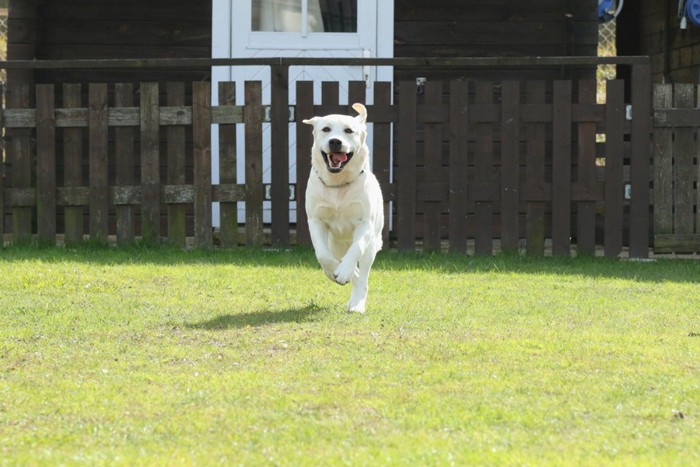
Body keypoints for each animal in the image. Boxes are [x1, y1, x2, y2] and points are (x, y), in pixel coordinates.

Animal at [304, 103, 386, 314]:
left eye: (349, 131)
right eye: (326, 129)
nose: (335, 141)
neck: (338, 185)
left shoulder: (365, 223)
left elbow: (357, 248)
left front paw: (344, 272)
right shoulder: (316, 221)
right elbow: (323, 255)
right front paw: (336, 272)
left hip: (372, 246)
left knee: (363, 275)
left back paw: (357, 303)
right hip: (336, 244)